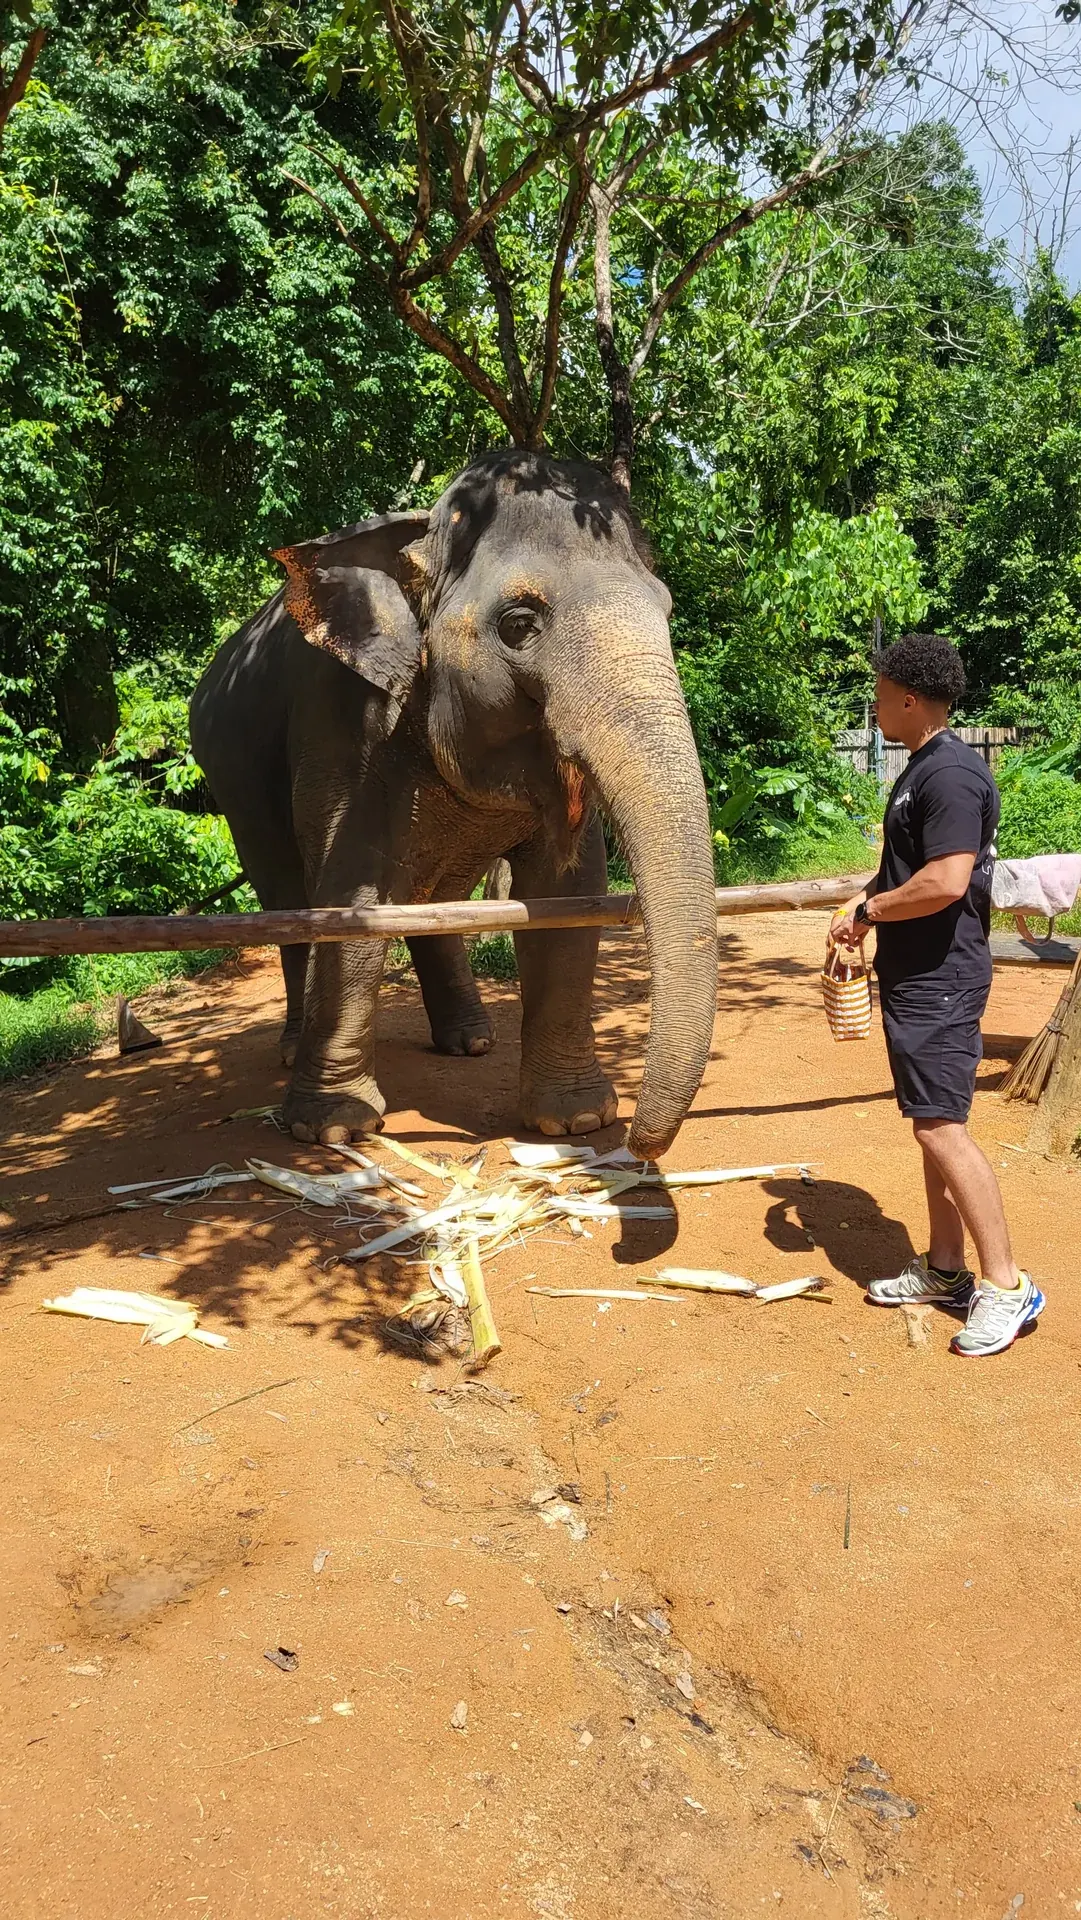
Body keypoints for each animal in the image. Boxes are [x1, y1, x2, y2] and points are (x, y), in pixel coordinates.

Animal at [189, 448, 718, 1159]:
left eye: (665, 609)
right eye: (519, 624)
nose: (638, 1143)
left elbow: (569, 895)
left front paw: (575, 1121)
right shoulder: (341, 724)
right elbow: (349, 894)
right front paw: (332, 1129)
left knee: (430, 902)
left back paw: (471, 1042)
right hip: (235, 779)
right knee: (287, 899)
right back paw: (295, 1051)